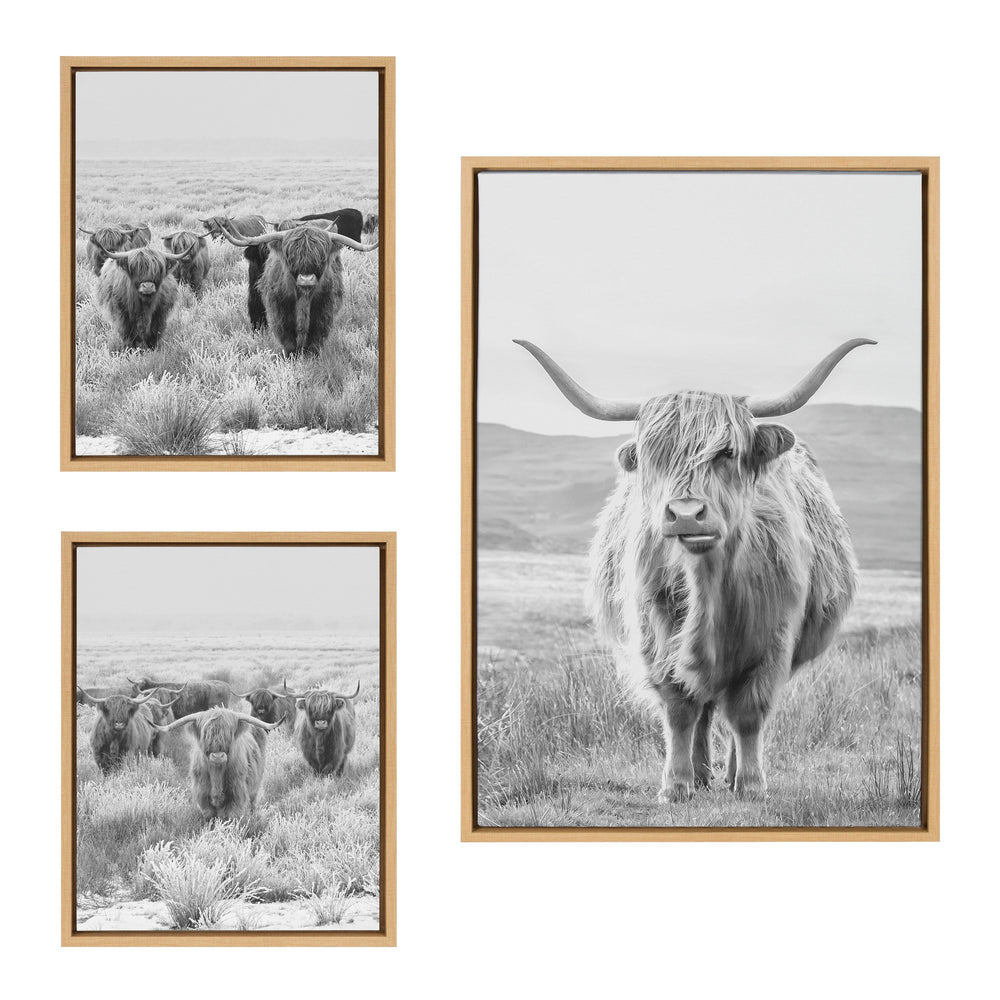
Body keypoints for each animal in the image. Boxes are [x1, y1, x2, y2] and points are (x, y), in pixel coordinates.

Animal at [150, 708, 281, 820]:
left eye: (229, 733)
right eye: (205, 733)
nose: (218, 756)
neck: (216, 775)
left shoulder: (236, 796)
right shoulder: (203, 796)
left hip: (255, 787)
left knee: (253, 803)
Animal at [217, 220, 378, 354]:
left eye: (321, 255)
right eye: (290, 255)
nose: (306, 279)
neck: (303, 297)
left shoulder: (324, 310)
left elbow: (315, 338)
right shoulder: (279, 311)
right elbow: (288, 339)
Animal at [514, 337, 874, 802]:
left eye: (727, 453)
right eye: (654, 455)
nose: (686, 514)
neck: (708, 586)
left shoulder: (774, 639)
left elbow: (749, 713)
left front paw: (751, 784)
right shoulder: (656, 633)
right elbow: (680, 707)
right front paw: (676, 785)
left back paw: (732, 773)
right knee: (702, 707)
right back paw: (702, 773)